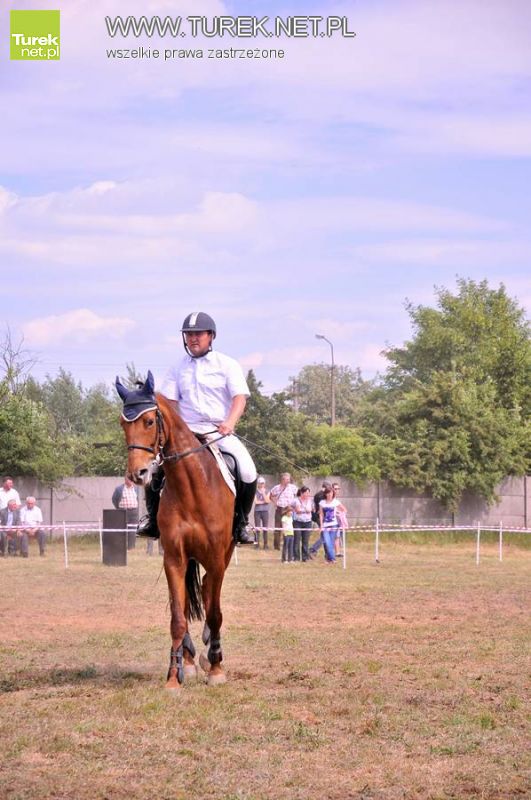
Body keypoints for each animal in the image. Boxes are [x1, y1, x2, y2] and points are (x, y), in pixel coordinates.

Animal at [115, 371, 235, 689]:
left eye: (148, 421)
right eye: (123, 424)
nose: (138, 474)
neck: (192, 486)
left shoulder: (216, 558)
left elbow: (215, 613)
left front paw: (216, 667)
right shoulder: (173, 558)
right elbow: (177, 616)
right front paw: (174, 675)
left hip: (224, 555)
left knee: (208, 591)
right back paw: (191, 658)